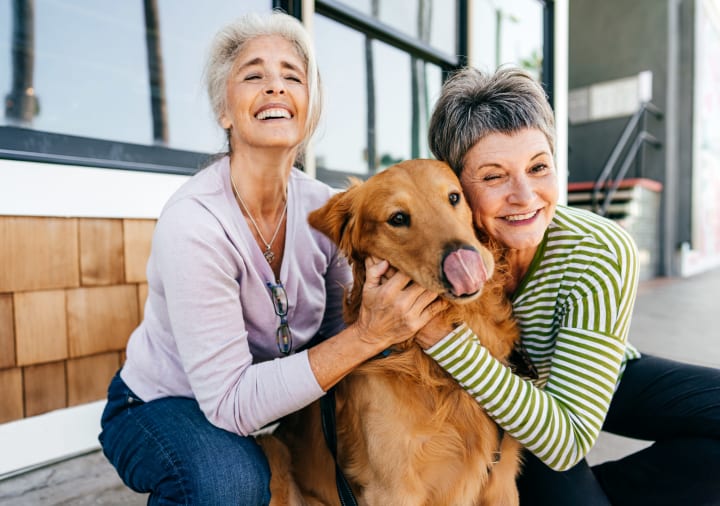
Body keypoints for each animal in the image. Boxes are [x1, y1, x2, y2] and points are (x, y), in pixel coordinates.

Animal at [262, 159, 520, 506]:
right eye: (398, 218)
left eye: (454, 197)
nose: (466, 260)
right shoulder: (393, 488)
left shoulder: (502, 482)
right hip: (273, 451)